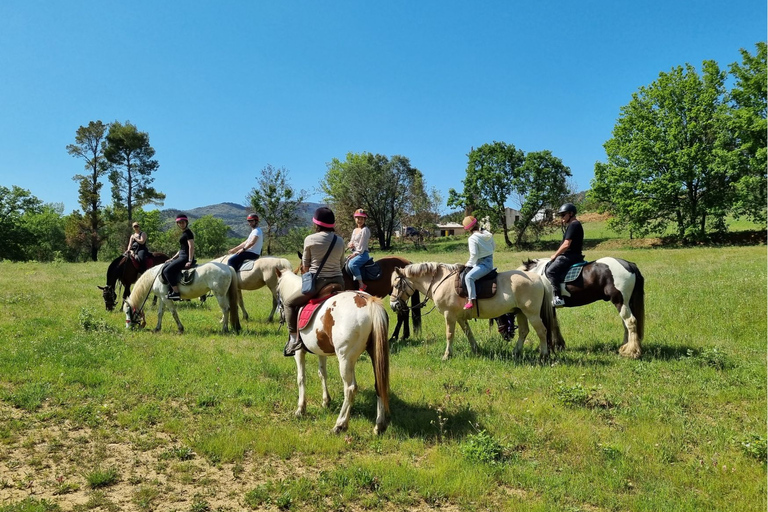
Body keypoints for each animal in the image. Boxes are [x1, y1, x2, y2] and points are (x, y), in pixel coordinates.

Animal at [275, 268, 390, 435]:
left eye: (277, 290)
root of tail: (369, 301)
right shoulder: (320, 351)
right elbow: (322, 374)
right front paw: (326, 401)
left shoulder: (299, 352)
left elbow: (301, 378)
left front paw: (301, 409)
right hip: (374, 355)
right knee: (378, 385)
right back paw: (379, 425)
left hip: (345, 359)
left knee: (350, 389)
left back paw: (340, 424)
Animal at [390, 262, 560, 360]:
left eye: (397, 285)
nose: (393, 305)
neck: (441, 281)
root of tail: (539, 278)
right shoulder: (459, 317)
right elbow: (468, 332)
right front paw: (476, 349)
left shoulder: (449, 315)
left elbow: (449, 335)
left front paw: (446, 355)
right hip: (520, 313)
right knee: (524, 331)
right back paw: (515, 352)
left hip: (532, 314)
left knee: (542, 331)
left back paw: (544, 355)